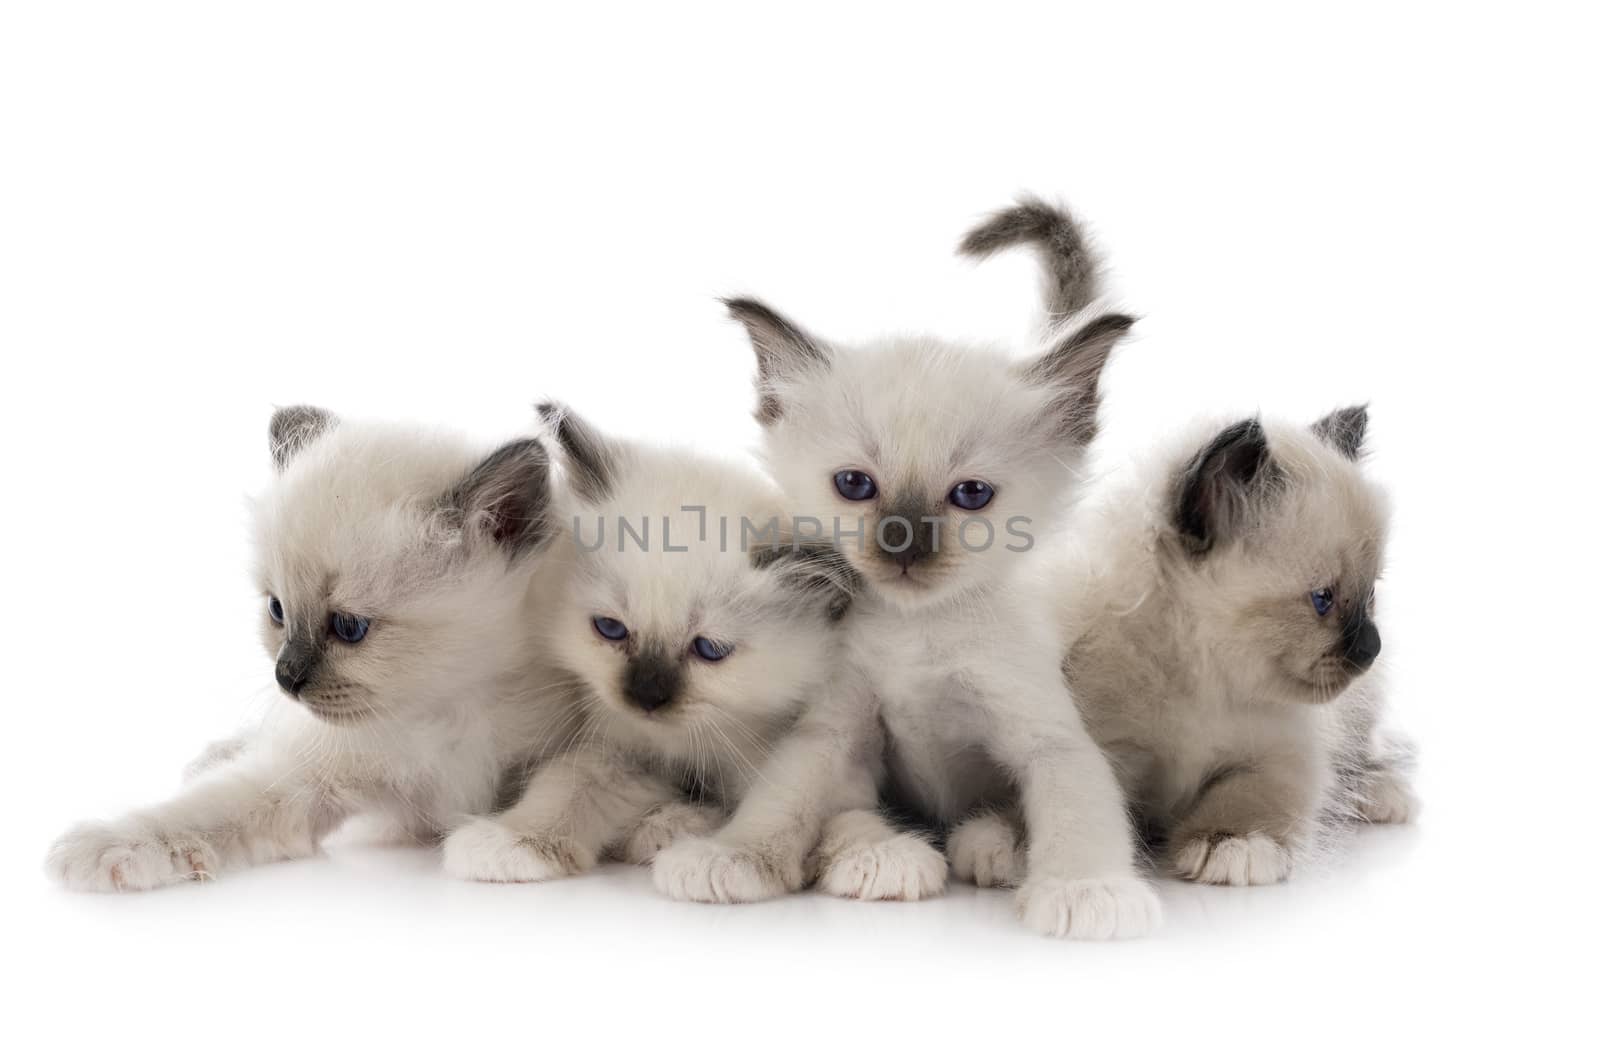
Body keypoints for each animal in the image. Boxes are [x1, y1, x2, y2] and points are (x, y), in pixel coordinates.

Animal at [46, 408, 569, 889]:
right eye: (278, 610)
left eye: (349, 627)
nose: (286, 679)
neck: (447, 709)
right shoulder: (310, 776)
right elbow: (205, 808)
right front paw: (102, 846)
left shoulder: (566, 744)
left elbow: (561, 789)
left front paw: (508, 846)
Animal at [438, 404, 870, 883]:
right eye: (610, 629)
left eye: (710, 650)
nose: (645, 696)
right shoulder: (623, 748)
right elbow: (569, 783)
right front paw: (514, 841)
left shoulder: (821, 743)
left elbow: (808, 806)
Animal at [652, 200, 1164, 941]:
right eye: (855, 485)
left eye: (972, 495)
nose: (903, 544)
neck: (918, 633)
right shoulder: (835, 725)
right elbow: (784, 793)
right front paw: (733, 857)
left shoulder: (1048, 732)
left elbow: (1077, 807)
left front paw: (1086, 890)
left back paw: (991, 843)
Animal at [940, 202, 1420, 889]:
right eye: (1323, 600)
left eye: (1370, 597)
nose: (1370, 647)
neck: (1200, 677)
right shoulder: (1087, 738)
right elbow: (1049, 792)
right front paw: (1002, 841)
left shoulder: (1280, 753)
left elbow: (1250, 798)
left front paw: (1229, 844)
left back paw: (1380, 791)